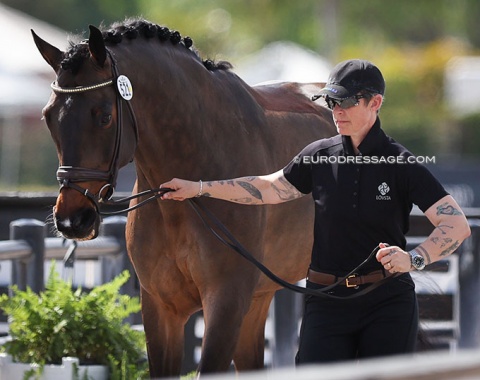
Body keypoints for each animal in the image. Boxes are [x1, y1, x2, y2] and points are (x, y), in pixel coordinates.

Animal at [31, 19, 336, 378]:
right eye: (48, 116)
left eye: (104, 115)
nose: (72, 219)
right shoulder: (161, 307)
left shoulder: (226, 303)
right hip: (260, 297)